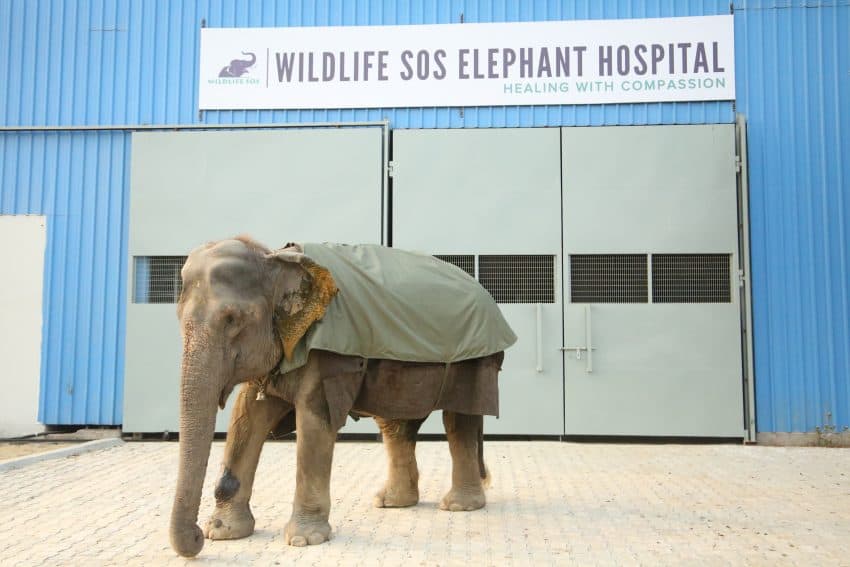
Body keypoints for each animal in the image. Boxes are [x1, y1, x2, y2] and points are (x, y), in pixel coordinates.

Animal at [168, 236, 512, 560]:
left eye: (232, 320)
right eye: (178, 317)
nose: (196, 537)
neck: (276, 258)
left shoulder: (326, 356)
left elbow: (313, 420)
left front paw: (303, 540)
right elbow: (248, 416)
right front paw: (221, 533)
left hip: (474, 361)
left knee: (459, 419)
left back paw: (458, 506)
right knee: (397, 425)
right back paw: (392, 502)